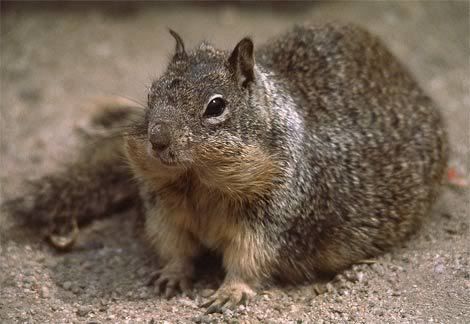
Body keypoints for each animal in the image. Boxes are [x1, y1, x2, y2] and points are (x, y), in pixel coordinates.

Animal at [6, 23, 448, 314]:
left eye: (216, 106)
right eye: (152, 93)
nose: (158, 139)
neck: (198, 182)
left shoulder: (272, 218)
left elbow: (248, 259)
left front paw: (230, 292)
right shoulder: (162, 213)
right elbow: (175, 247)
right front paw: (171, 275)